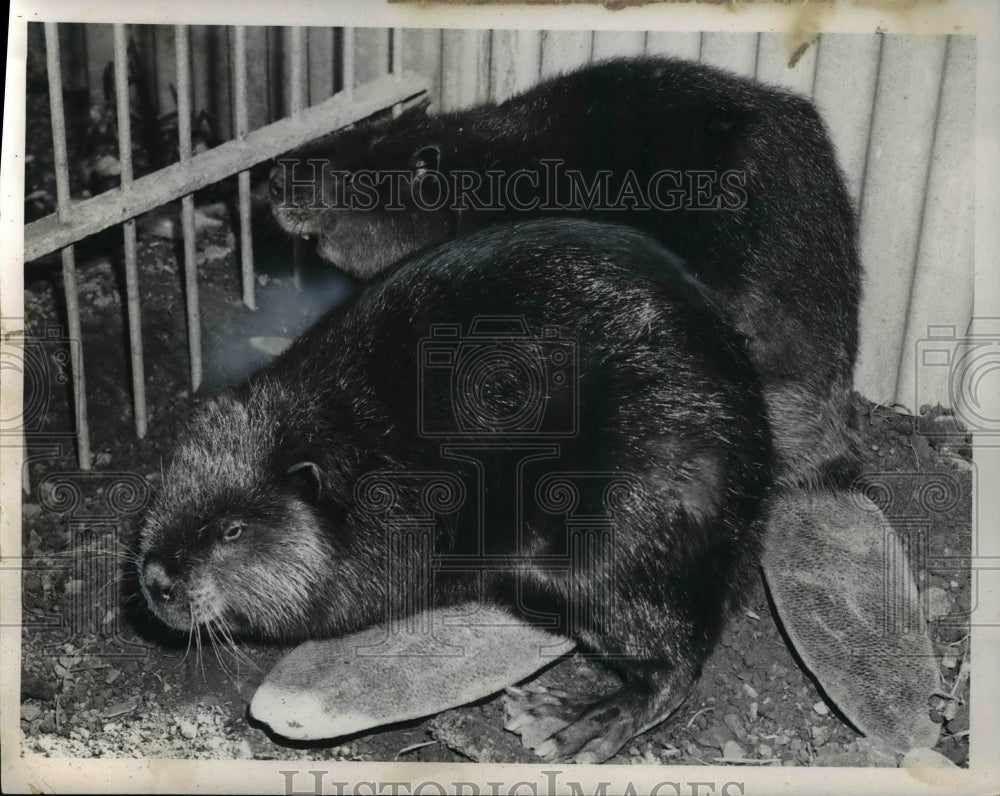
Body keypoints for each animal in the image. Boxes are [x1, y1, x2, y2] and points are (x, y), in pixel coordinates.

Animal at [135, 216, 772, 760]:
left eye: (231, 530)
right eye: (162, 489)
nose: (157, 581)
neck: (357, 444)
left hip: (611, 527)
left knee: (675, 658)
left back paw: (565, 722)